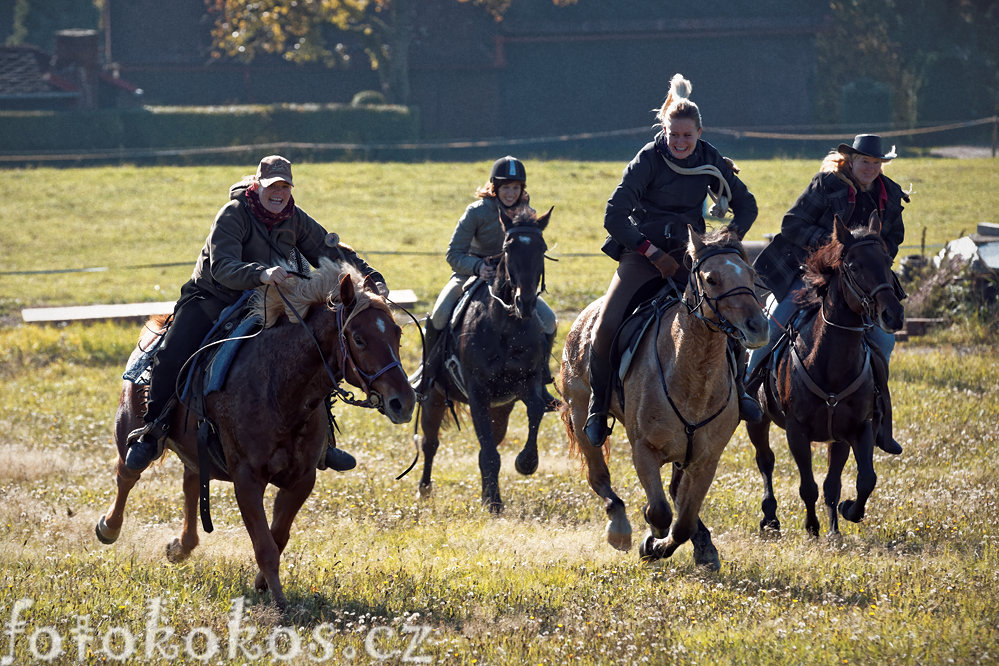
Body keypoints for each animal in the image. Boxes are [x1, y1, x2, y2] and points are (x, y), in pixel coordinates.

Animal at [95, 258, 416, 608]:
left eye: (397, 333)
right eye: (358, 339)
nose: (404, 401)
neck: (278, 386)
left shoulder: (301, 480)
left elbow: (279, 537)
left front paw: (262, 585)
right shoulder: (247, 481)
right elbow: (265, 545)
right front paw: (278, 603)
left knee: (191, 481)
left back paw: (181, 546)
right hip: (129, 428)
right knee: (127, 472)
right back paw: (109, 527)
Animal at [414, 205, 556, 510]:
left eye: (541, 248)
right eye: (508, 247)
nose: (525, 302)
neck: (505, 326)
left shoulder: (527, 384)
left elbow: (536, 410)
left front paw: (526, 462)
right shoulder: (478, 392)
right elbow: (487, 452)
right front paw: (494, 504)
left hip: (501, 408)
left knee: (491, 441)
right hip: (434, 397)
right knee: (430, 443)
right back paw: (424, 489)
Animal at [564, 227, 764, 564]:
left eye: (751, 274)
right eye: (711, 279)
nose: (758, 327)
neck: (693, 377)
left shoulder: (706, 460)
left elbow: (683, 522)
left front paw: (666, 546)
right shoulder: (644, 450)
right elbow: (659, 512)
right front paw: (651, 540)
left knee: (675, 496)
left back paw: (703, 545)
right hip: (579, 414)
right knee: (598, 476)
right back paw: (619, 527)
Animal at [752, 215, 908, 536]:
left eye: (887, 260)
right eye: (853, 266)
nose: (893, 315)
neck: (830, 364)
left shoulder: (857, 429)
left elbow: (862, 480)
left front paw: (846, 515)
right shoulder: (796, 432)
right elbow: (808, 486)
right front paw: (812, 527)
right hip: (757, 420)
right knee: (765, 461)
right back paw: (771, 517)